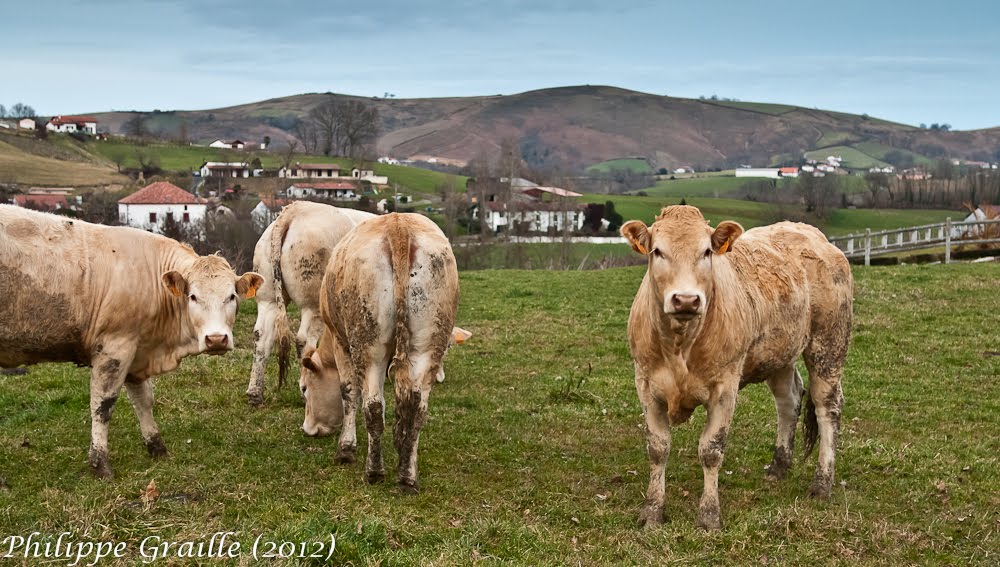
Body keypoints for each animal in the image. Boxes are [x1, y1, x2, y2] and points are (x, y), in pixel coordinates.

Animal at [0, 205, 262, 480]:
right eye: (192, 296)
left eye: (231, 296)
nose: (216, 339)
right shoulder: (115, 347)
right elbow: (103, 405)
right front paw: (100, 463)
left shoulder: (137, 353)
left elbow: (144, 400)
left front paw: (156, 446)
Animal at [246, 202, 376, 406]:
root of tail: (295, 210)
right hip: (313, 302)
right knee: (304, 339)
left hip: (268, 297)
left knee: (261, 335)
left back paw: (254, 394)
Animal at [298, 213, 458, 492]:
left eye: (304, 388)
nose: (309, 429)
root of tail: (398, 225)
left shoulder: (341, 343)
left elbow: (349, 393)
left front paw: (346, 448)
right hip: (428, 344)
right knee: (417, 408)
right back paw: (407, 476)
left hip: (368, 346)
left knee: (372, 407)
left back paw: (373, 471)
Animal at [624, 206, 852, 532]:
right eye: (657, 251)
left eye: (706, 251)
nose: (686, 300)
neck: (680, 344)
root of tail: (811, 233)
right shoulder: (645, 382)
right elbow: (657, 449)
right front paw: (653, 512)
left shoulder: (725, 388)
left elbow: (711, 450)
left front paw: (709, 516)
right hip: (779, 353)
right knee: (789, 401)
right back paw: (779, 466)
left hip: (829, 345)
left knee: (827, 408)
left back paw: (822, 484)